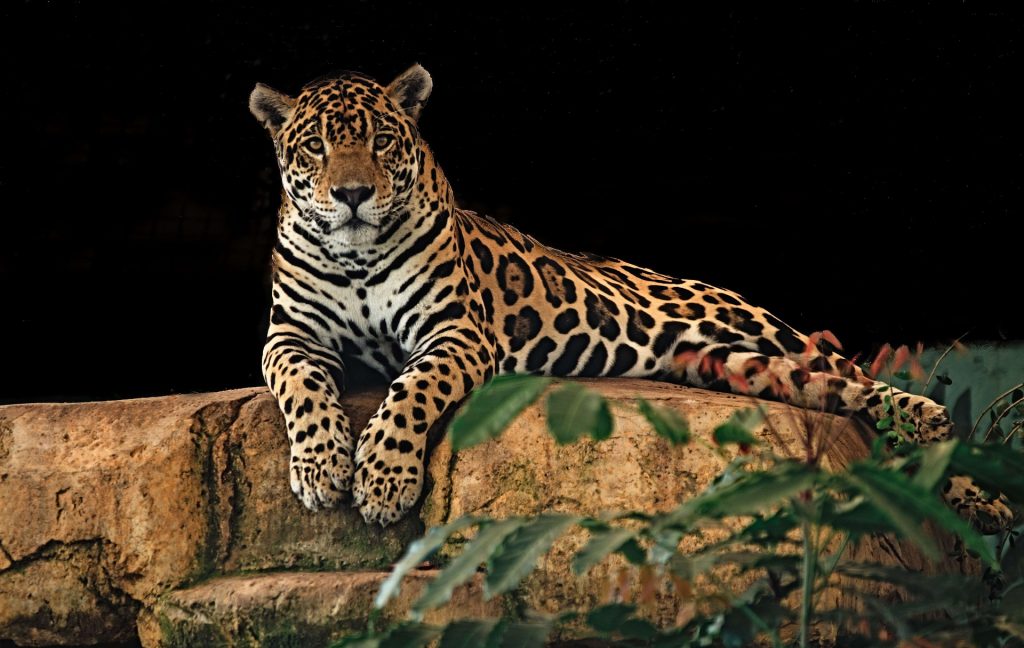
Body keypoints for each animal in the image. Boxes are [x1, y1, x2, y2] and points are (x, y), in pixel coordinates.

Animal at [249, 64, 1012, 533]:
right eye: (315, 148)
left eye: (381, 141)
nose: (353, 194)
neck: (356, 257)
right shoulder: (290, 336)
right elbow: (300, 386)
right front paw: (320, 468)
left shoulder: (455, 332)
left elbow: (411, 391)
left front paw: (381, 481)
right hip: (737, 366)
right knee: (856, 398)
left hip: (762, 328)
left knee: (877, 385)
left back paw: (977, 490)